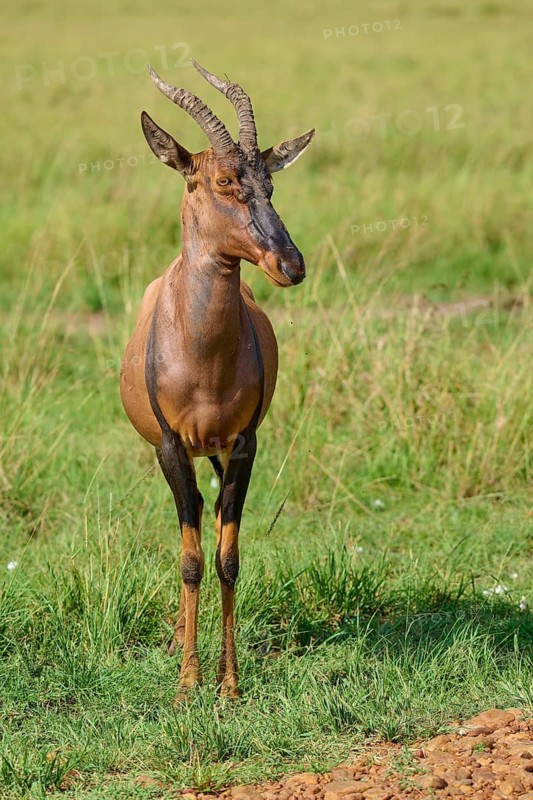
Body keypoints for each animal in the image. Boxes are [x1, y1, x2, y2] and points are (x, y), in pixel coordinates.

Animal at [120, 60, 314, 702]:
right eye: (223, 180)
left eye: (270, 183)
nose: (291, 264)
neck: (203, 357)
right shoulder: (170, 447)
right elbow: (190, 559)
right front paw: (187, 683)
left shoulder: (245, 445)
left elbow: (229, 559)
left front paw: (228, 686)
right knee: (193, 529)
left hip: (217, 451)